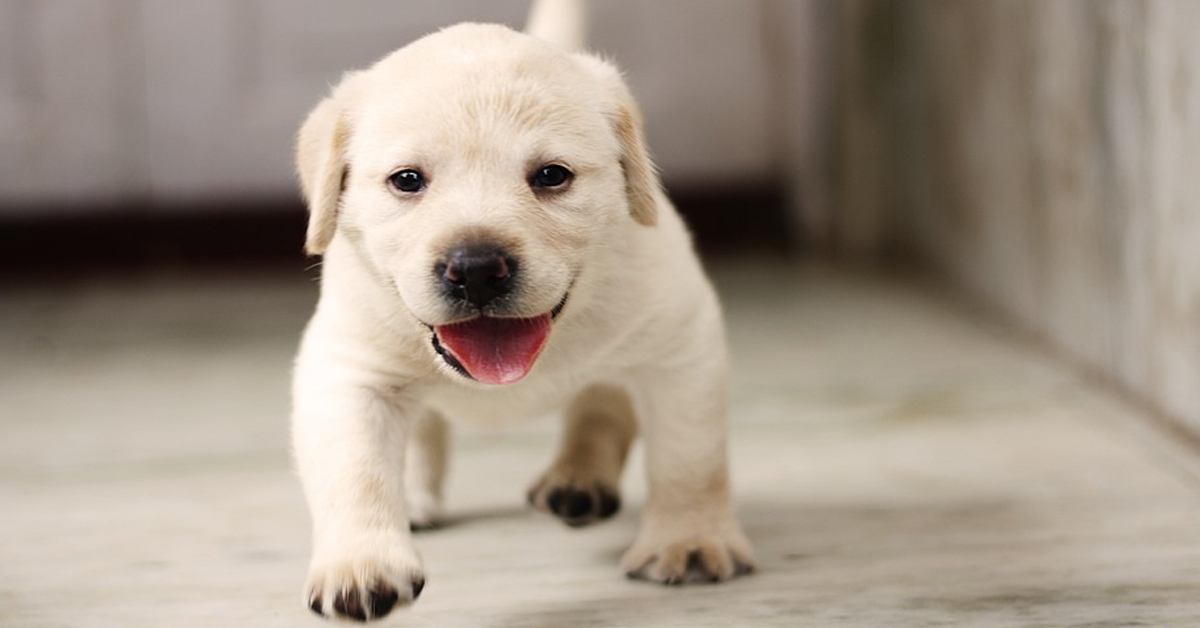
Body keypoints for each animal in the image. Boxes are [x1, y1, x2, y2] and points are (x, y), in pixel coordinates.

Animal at [292, 0, 748, 619]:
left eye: (552, 175)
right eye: (406, 180)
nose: (477, 269)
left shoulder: (680, 346)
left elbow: (689, 459)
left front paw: (691, 540)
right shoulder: (348, 370)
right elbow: (355, 469)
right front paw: (361, 564)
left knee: (601, 405)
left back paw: (578, 479)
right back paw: (416, 497)